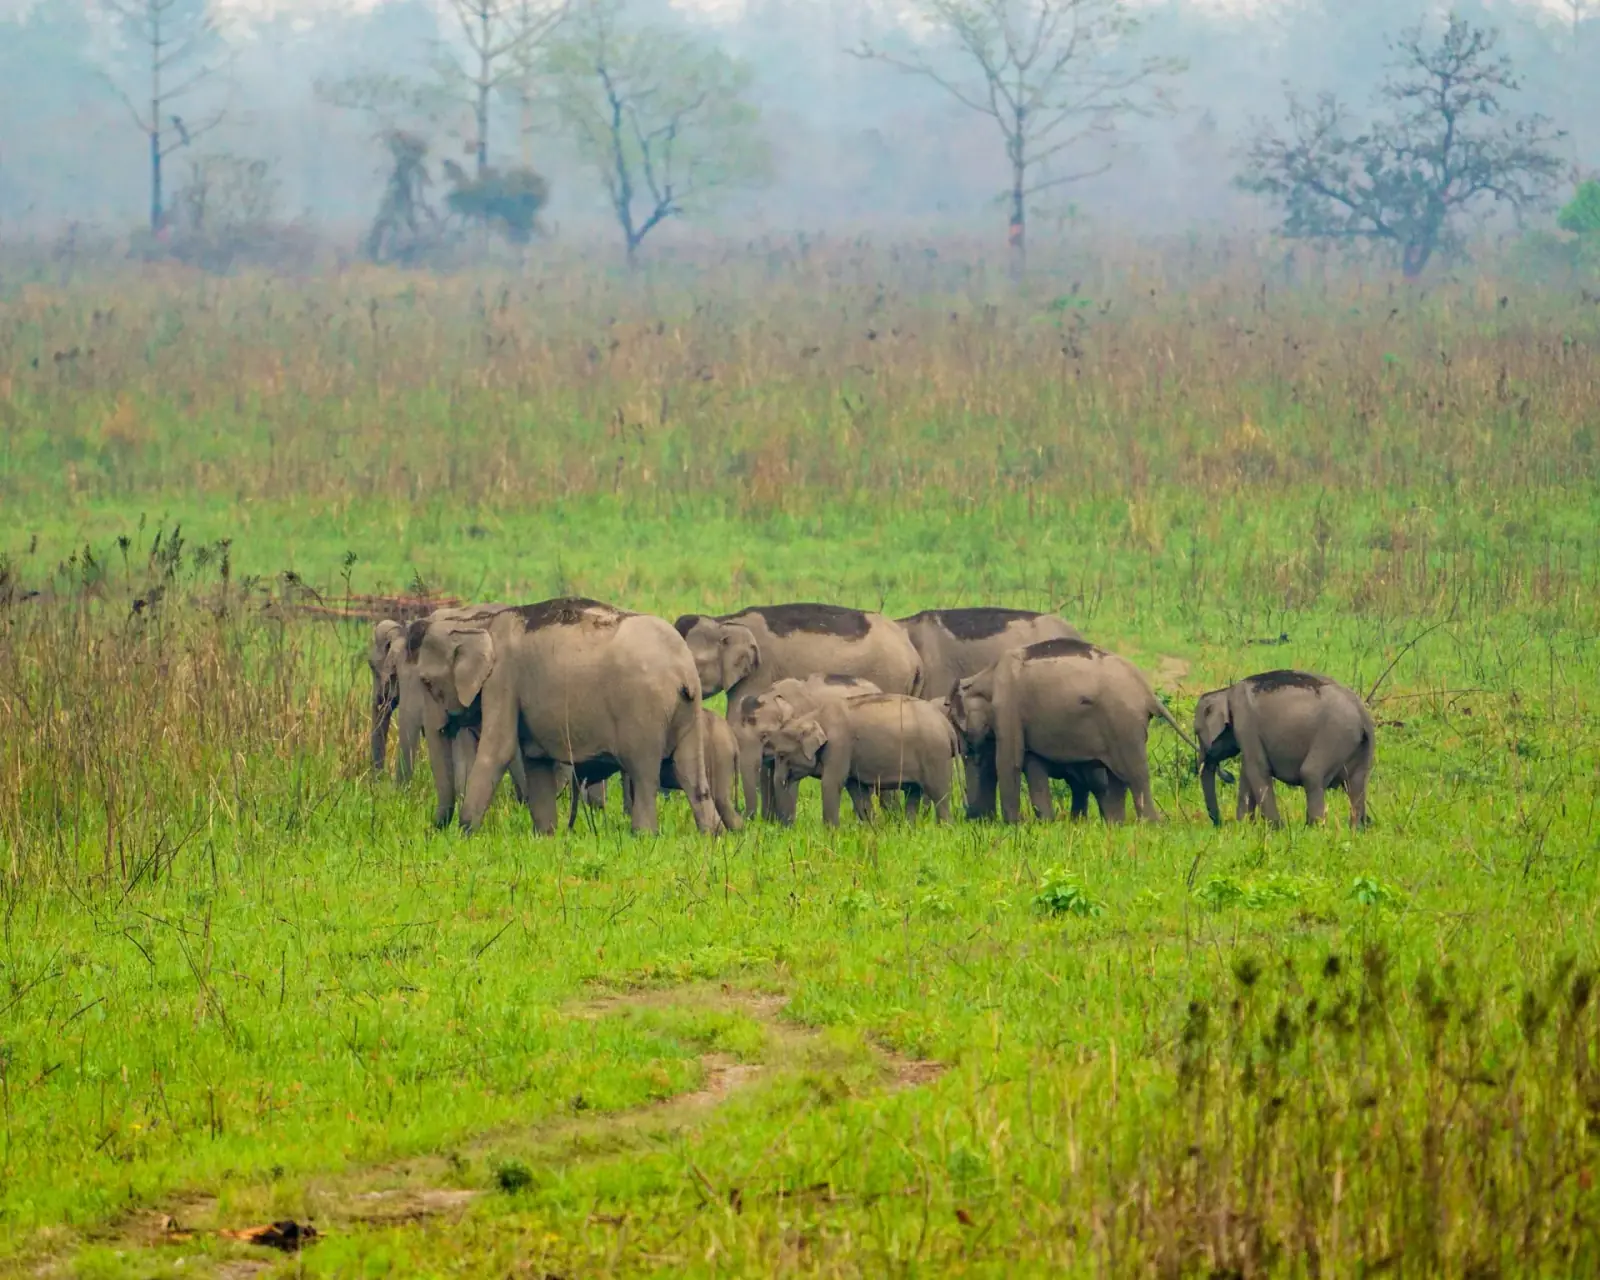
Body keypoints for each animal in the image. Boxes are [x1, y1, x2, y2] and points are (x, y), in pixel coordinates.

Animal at [411, 597, 721, 835]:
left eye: (426, 682)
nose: (432, 829)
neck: (479, 623)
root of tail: (683, 668)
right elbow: (535, 760)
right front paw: (546, 835)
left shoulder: (503, 679)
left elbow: (499, 749)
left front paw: (464, 833)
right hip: (687, 709)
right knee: (690, 772)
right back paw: (712, 834)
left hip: (643, 710)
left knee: (644, 772)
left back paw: (643, 835)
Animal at [736, 673, 885, 823]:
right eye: (737, 738)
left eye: (764, 735)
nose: (747, 819)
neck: (772, 696)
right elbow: (767, 775)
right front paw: (770, 822)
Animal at [760, 692, 958, 827]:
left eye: (781, 755)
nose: (787, 829)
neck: (815, 716)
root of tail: (947, 726)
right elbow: (856, 789)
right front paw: (871, 829)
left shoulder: (839, 746)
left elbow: (831, 784)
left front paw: (831, 833)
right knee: (913, 793)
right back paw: (910, 831)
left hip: (936, 755)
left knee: (939, 794)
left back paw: (944, 829)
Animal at [948, 638, 1199, 824]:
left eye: (958, 726)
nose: (971, 818)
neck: (985, 674)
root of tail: (1148, 692)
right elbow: (1033, 763)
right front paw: (1045, 824)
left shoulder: (1007, 705)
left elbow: (1010, 762)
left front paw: (1013, 826)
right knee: (1117, 778)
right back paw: (1117, 825)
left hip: (1123, 723)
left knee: (1135, 775)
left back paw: (1150, 825)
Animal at [1194, 670, 1375, 828]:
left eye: (1197, 731)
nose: (1220, 824)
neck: (1226, 693)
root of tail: (1363, 713)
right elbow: (1246, 772)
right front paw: (1244, 827)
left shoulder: (1245, 724)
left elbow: (1257, 769)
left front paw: (1276, 828)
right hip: (1359, 746)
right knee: (1356, 784)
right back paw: (1357, 828)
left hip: (1334, 734)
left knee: (1311, 773)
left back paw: (1314, 828)